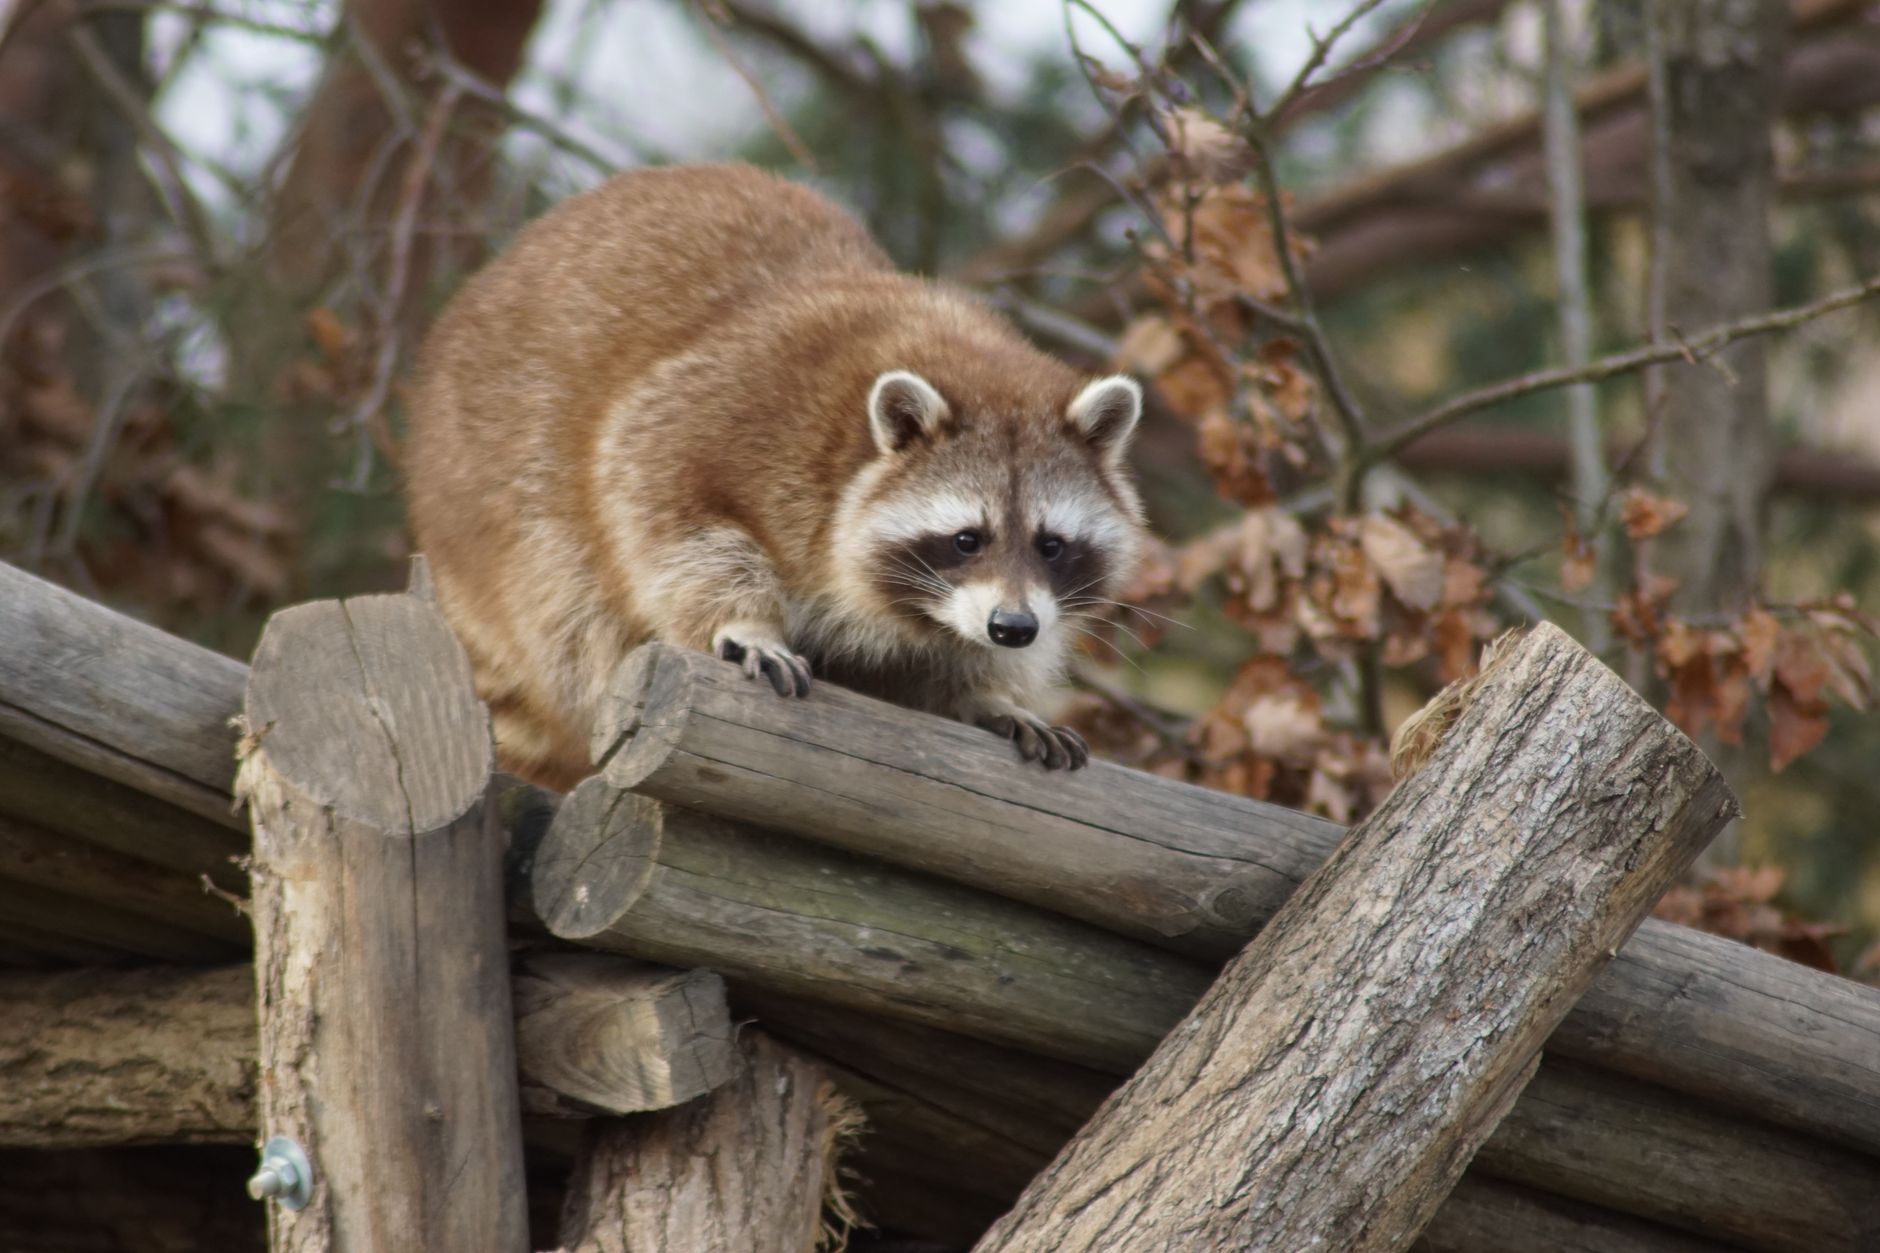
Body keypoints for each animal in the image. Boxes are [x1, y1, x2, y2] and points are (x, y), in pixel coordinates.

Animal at [406, 164, 1145, 792]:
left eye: (1051, 544)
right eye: (968, 539)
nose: (1012, 628)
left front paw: (987, 691)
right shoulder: (736, 410)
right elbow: (660, 504)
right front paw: (744, 620)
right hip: (491, 499)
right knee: (569, 604)